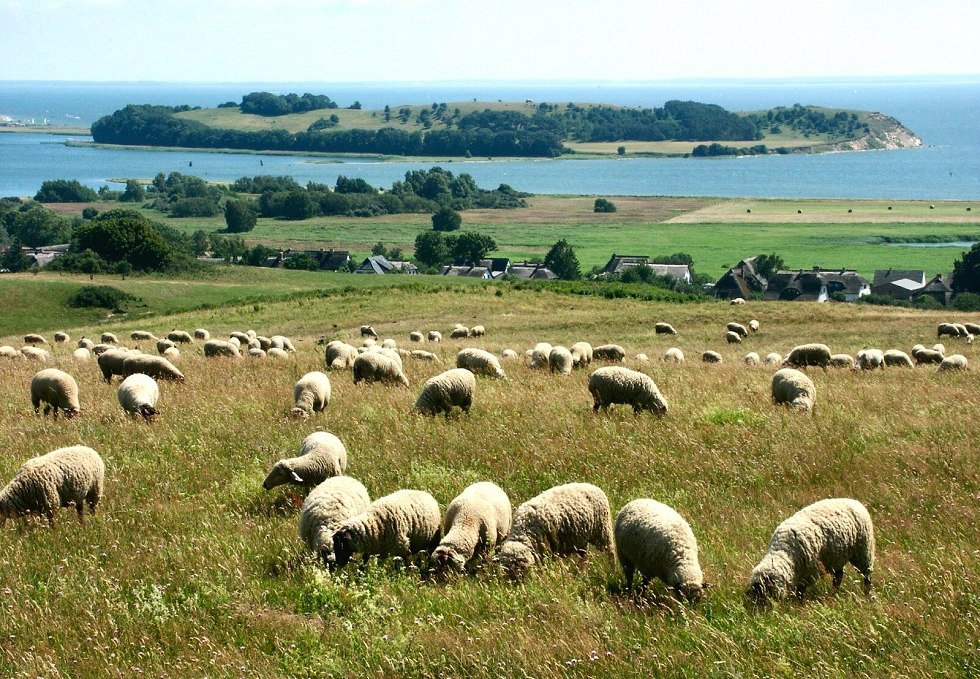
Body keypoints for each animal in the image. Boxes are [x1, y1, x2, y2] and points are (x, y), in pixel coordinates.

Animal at [748, 496, 876, 604]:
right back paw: (834, 593)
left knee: (867, 575)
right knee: (839, 576)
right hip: (837, 557)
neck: (784, 552)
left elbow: (800, 591)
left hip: (863, 551)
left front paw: (798, 603)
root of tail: (855, 501)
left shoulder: (809, 573)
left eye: (764, 592)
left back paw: (866, 593)